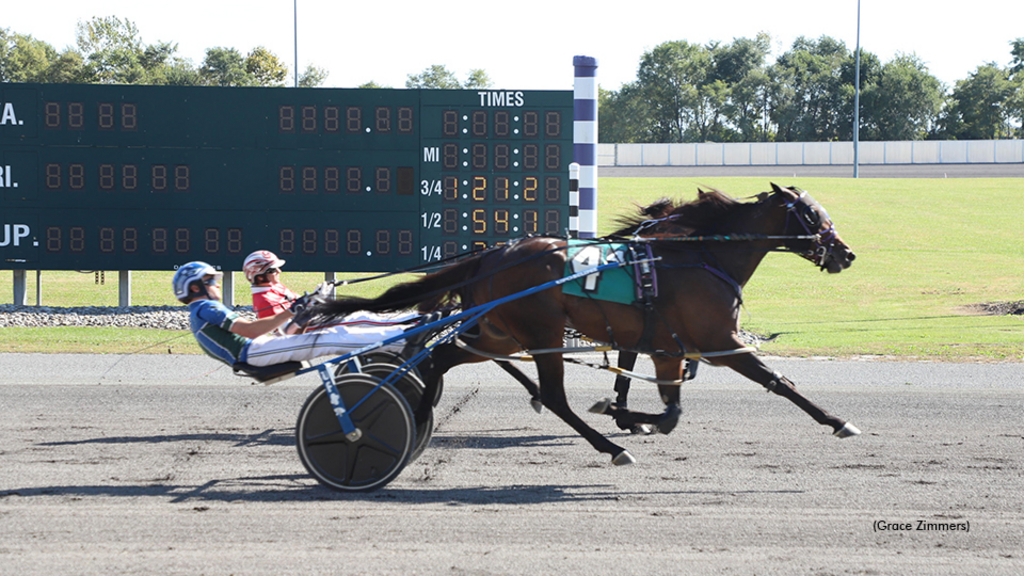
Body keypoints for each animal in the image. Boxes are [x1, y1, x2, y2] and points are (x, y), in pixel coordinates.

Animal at [315, 183, 860, 461]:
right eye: (812, 214)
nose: (846, 254)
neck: (701, 256)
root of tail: (490, 255)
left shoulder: (664, 345)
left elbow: (667, 405)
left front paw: (629, 414)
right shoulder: (716, 340)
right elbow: (776, 381)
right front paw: (838, 421)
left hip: (497, 333)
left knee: (442, 359)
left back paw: (417, 414)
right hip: (540, 333)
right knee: (552, 394)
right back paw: (608, 447)